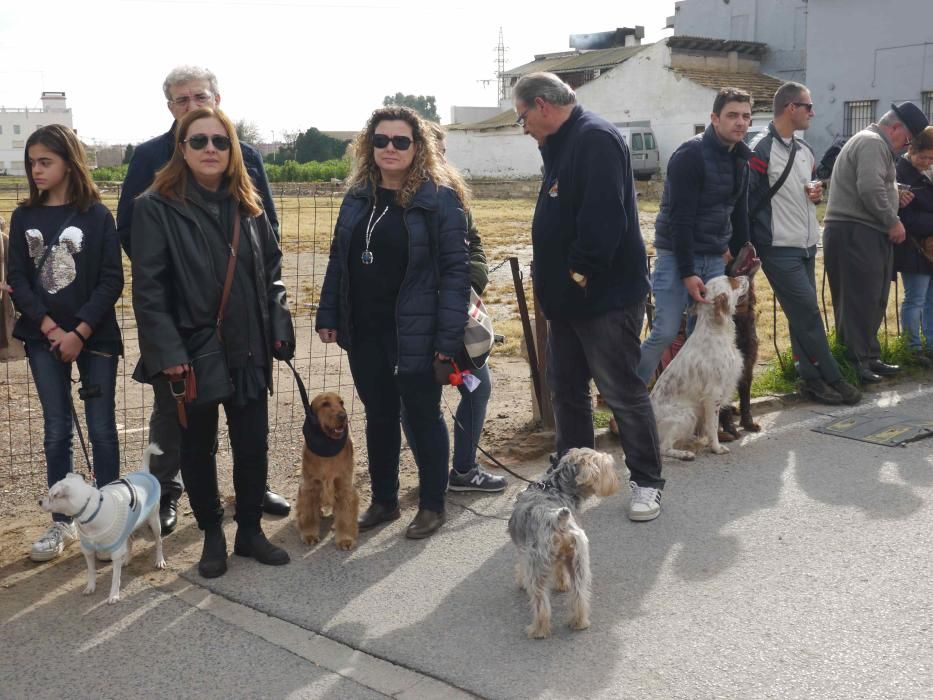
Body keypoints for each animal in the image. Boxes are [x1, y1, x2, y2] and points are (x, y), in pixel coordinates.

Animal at [296, 392, 358, 548]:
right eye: (325, 404)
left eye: (341, 402)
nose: (343, 416)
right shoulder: (310, 487)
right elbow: (308, 514)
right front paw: (309, 535)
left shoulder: (343, 486)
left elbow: (346, 516)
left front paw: (345, 539)